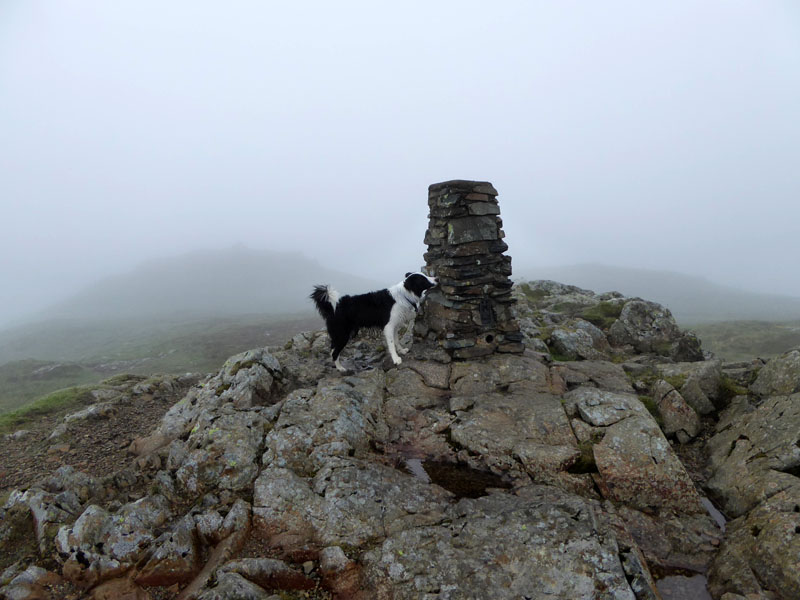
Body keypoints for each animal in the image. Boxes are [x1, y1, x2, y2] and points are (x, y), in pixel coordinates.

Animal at [310, 270, 438, 370]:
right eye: (423, 279)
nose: (436, 278)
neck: (404, 295)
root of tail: (334, 306)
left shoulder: (395, 326)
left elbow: (396, 340)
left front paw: (401, 351)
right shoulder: (388, 326)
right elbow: (391, 343)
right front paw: (396, 359)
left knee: (332, 350)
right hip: (343, 335)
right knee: (335, 353)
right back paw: (340, 368)